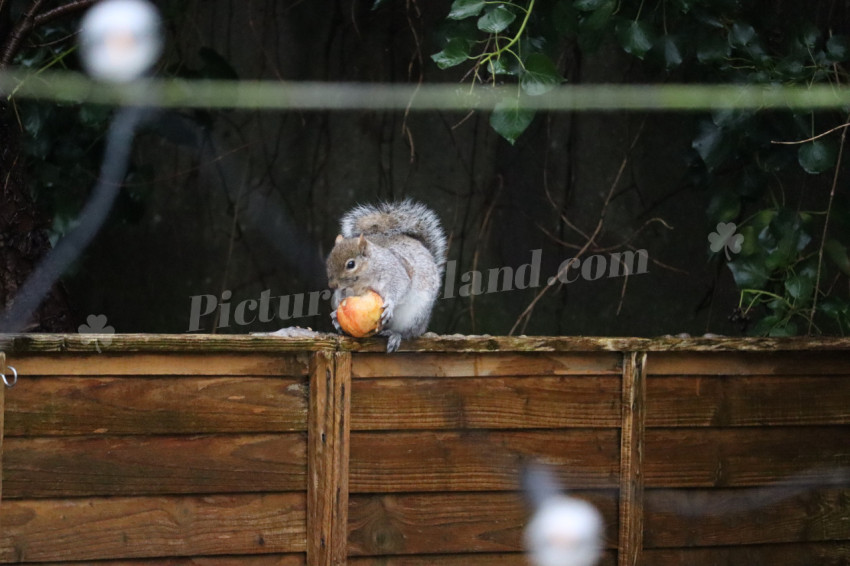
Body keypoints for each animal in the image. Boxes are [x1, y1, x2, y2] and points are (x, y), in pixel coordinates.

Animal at [326, 199, 447, 353]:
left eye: (351, 264)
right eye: (328, 261)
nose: (332, 285)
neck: (362, 282)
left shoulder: (393, 272)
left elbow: (399, 286)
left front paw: (389, 305)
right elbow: (341, 297)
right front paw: (335, 313)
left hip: (414, 316)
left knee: (408, 333)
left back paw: (395, 335)